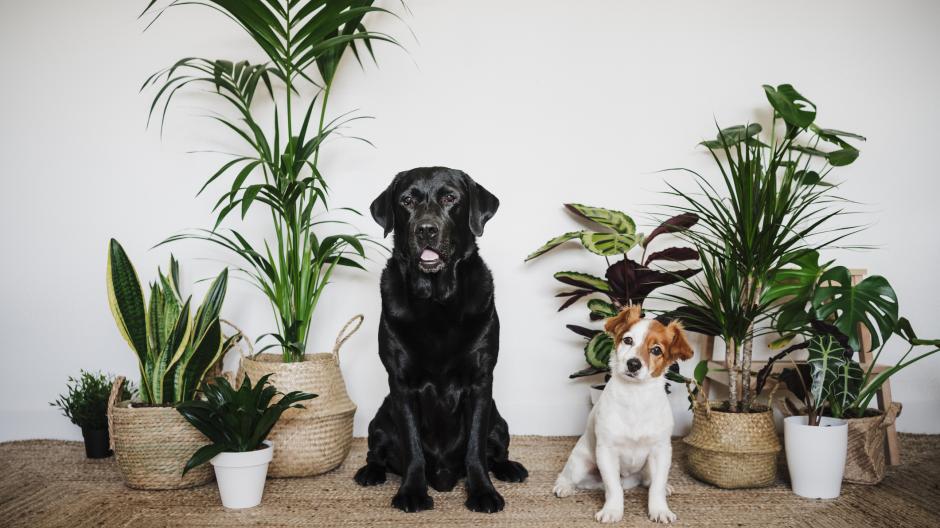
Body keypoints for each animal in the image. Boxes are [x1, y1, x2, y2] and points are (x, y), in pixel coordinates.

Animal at [352, 166, 528, 512]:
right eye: (407, 201)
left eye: (450, 198)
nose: (426, 230)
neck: (436, 302)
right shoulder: (400, 384)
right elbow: (412, 448)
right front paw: (412, 492)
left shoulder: (480, 381)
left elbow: (475, 447)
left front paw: (483, 492)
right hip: (380, 419)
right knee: (375, 451)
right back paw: (370, 472)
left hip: (499, 420)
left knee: (497, 450)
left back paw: (509, 468)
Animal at [552, 306, 696, 524]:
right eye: (628, 340)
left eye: (656, 350)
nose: (633, 364)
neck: (635, 397)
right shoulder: (607, 451)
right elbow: (614, 488)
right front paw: (612, 510)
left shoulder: (661, 451)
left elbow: (656, 487)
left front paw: (659, 509)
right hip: (580, 464)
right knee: (567, 476)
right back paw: (564, 487)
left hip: (647, 466)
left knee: (649, 481)